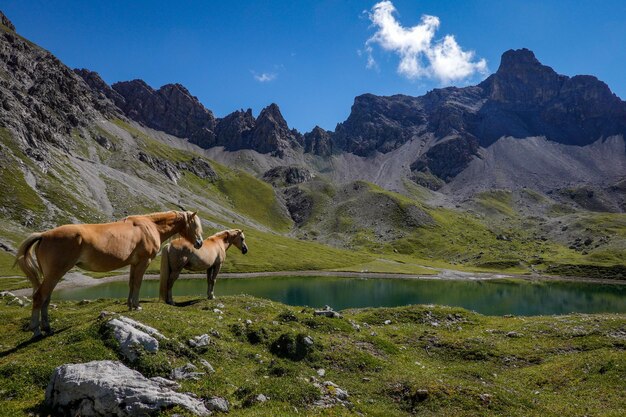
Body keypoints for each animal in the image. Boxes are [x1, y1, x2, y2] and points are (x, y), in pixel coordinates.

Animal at [15, 210, 202, 336]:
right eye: (194, 224)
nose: (199, 243)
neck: (150, 227)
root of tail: (44, 235)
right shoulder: (144, 262)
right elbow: (138, 283)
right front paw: (136, 306)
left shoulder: (134, 264)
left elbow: (131, 283)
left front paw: (129, 305)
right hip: (55, 274)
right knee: (39, 297)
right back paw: (36, 330)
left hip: (51, 275)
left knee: (46, 298)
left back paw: (47, 328)